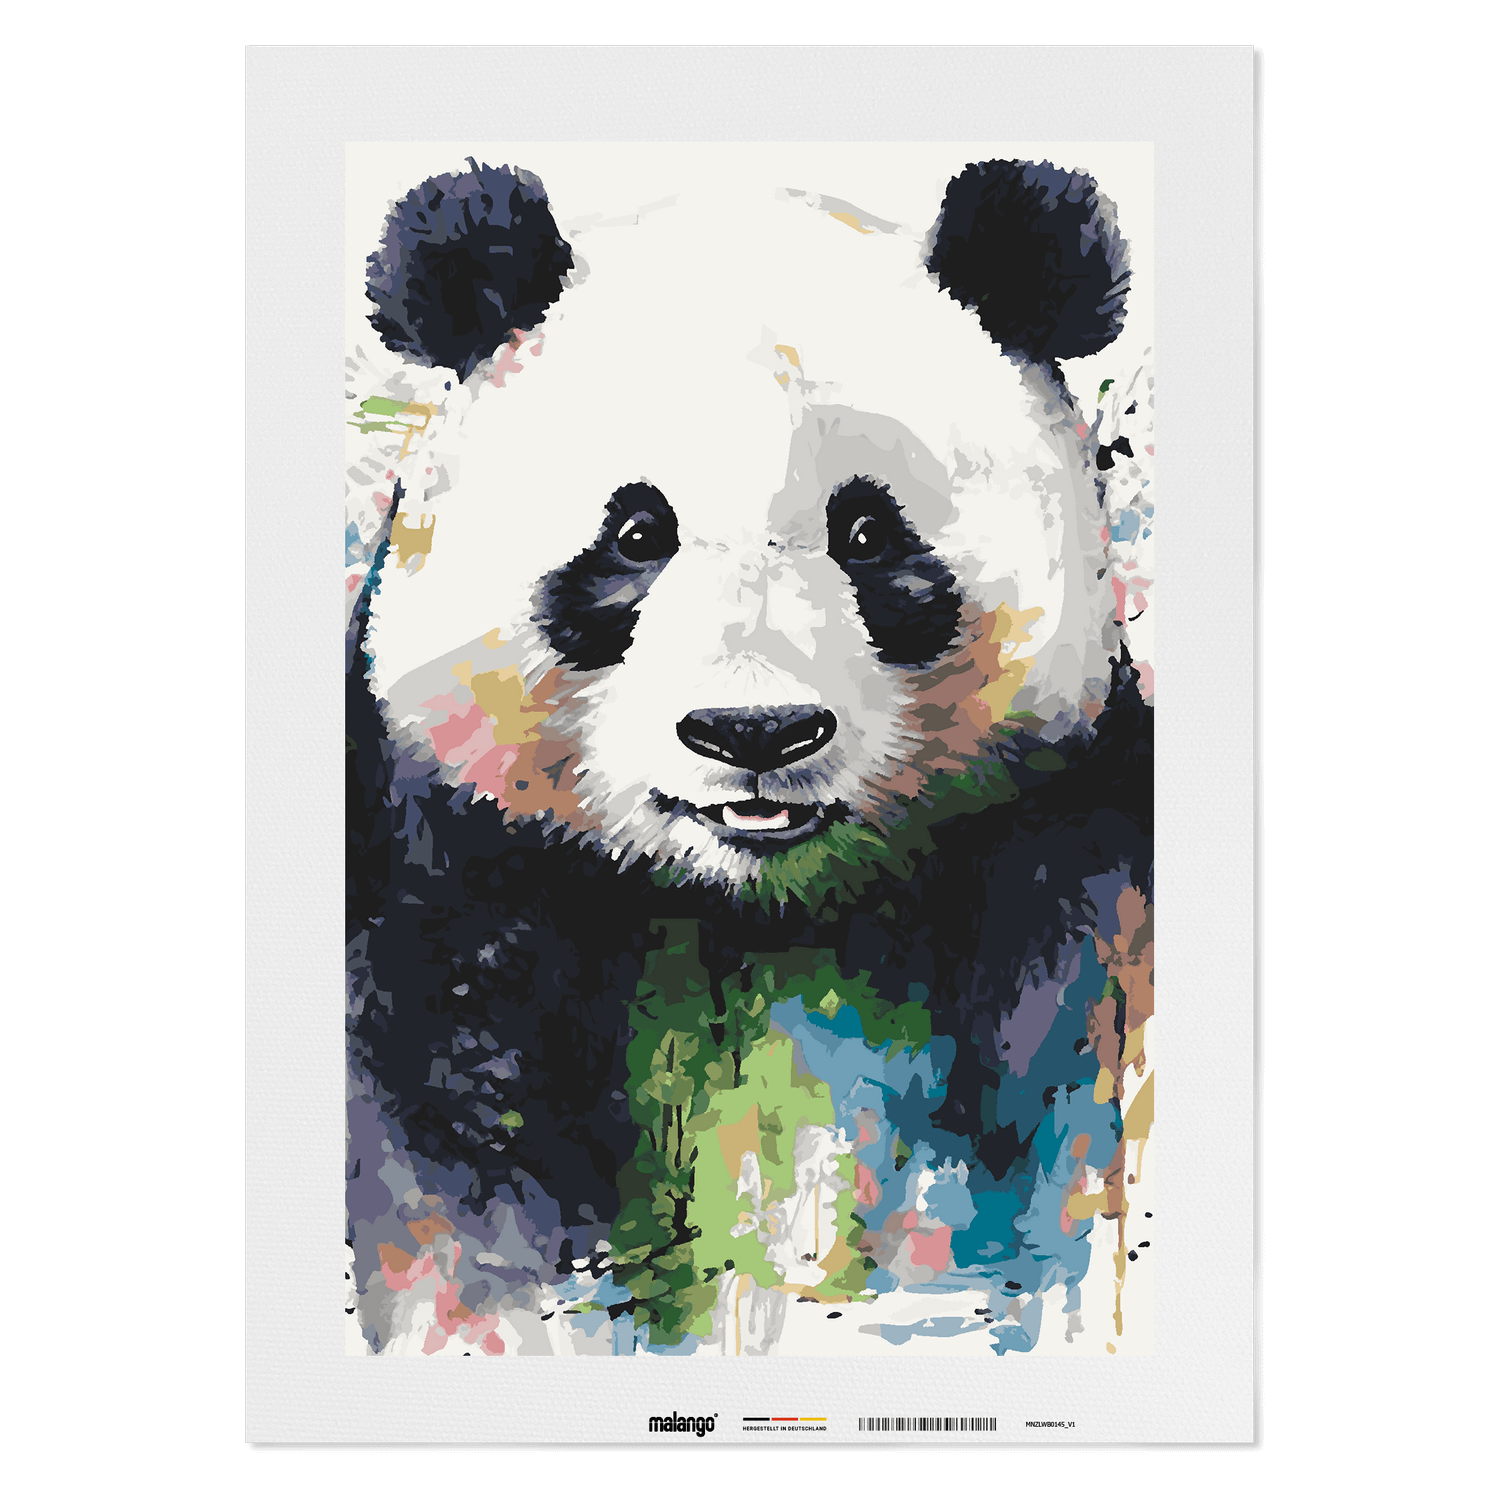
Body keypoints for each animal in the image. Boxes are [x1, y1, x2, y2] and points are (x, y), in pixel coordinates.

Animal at [345, 151, 1154, 1358]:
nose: (756, 733)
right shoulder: (446, 874)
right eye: (637, 534)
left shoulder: (1057, 858)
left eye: (869, 534)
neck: (752, 911)